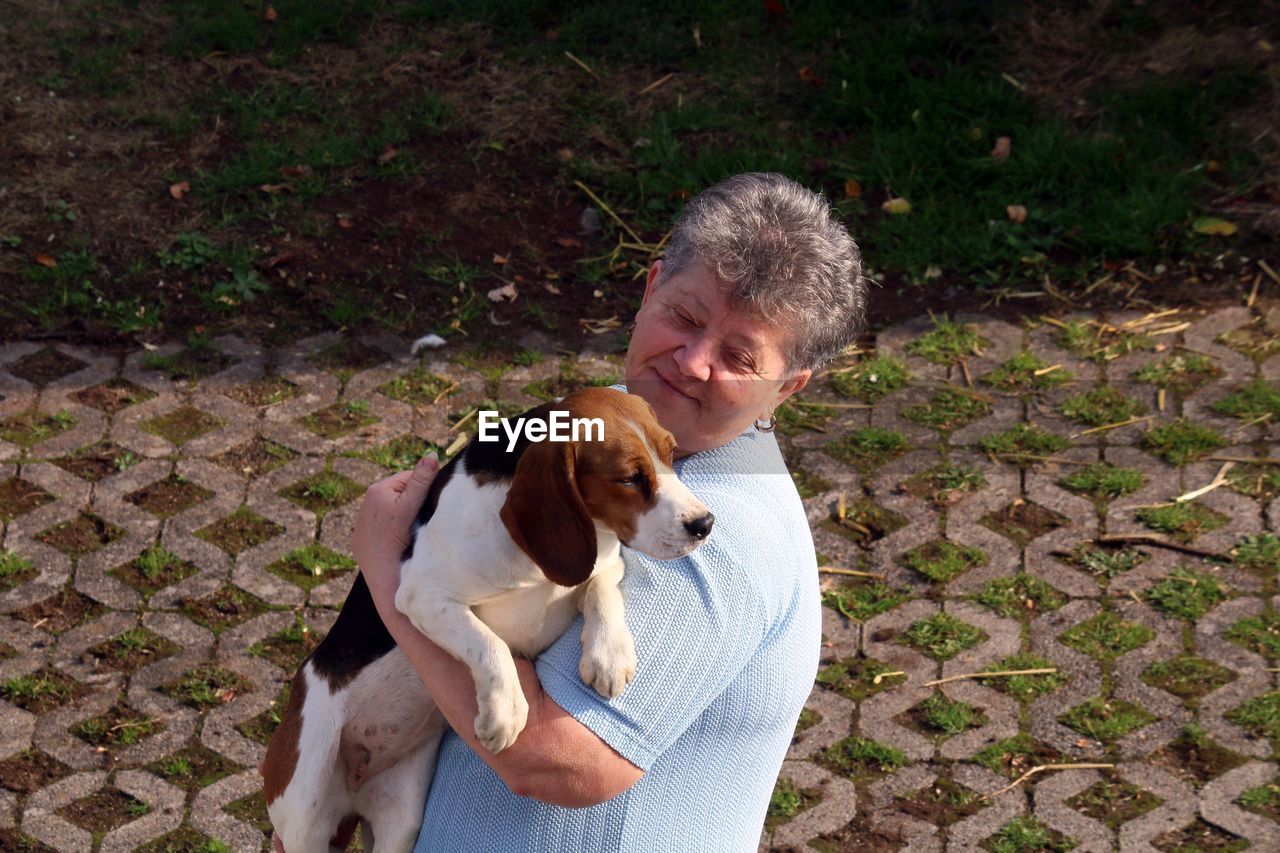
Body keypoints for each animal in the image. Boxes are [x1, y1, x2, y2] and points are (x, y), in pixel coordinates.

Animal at [262, 389, 721, 850]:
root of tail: (354, 787)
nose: (704, 524)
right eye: (628, 478)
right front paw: (506, 710)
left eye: (671, 452)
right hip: (306, 804)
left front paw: (608, 655)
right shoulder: (423, 595)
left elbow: (601, 592)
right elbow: (488, 644)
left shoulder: (607, 563)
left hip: (400, 815)